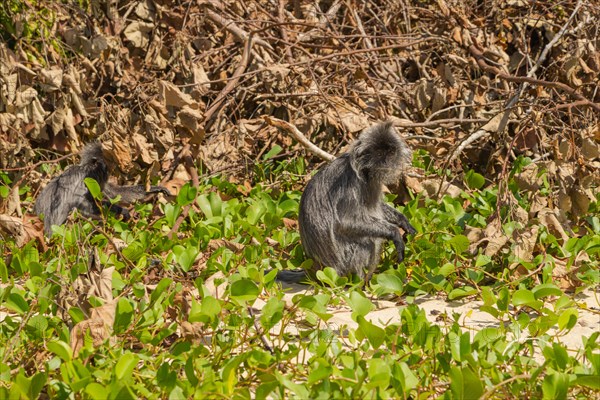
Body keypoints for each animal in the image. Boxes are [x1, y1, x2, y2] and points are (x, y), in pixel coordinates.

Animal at [278, 121, 414, 282]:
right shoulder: (350, 185)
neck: (364, 172)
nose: (387, 163)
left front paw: (402, 220)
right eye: (380, 154)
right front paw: (394, 233)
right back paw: (361, 283)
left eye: (391, 152)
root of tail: (313, 270)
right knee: (371, 241)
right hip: (343, 261)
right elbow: (345, 222)